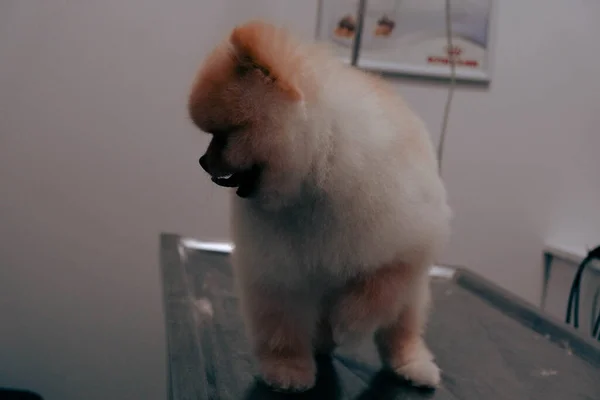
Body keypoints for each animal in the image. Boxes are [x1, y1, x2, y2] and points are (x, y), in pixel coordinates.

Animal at [188, 21, 450, 390]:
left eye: (222, 137)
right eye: (210, 136)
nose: (201, 161)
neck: (314, 180)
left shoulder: (405, 247)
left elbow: (378, 290)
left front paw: (350, 323)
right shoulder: (279, 272)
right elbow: (282, 328)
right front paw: (287, 369)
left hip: (412, 295)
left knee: (400, 328)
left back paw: (412, 364)